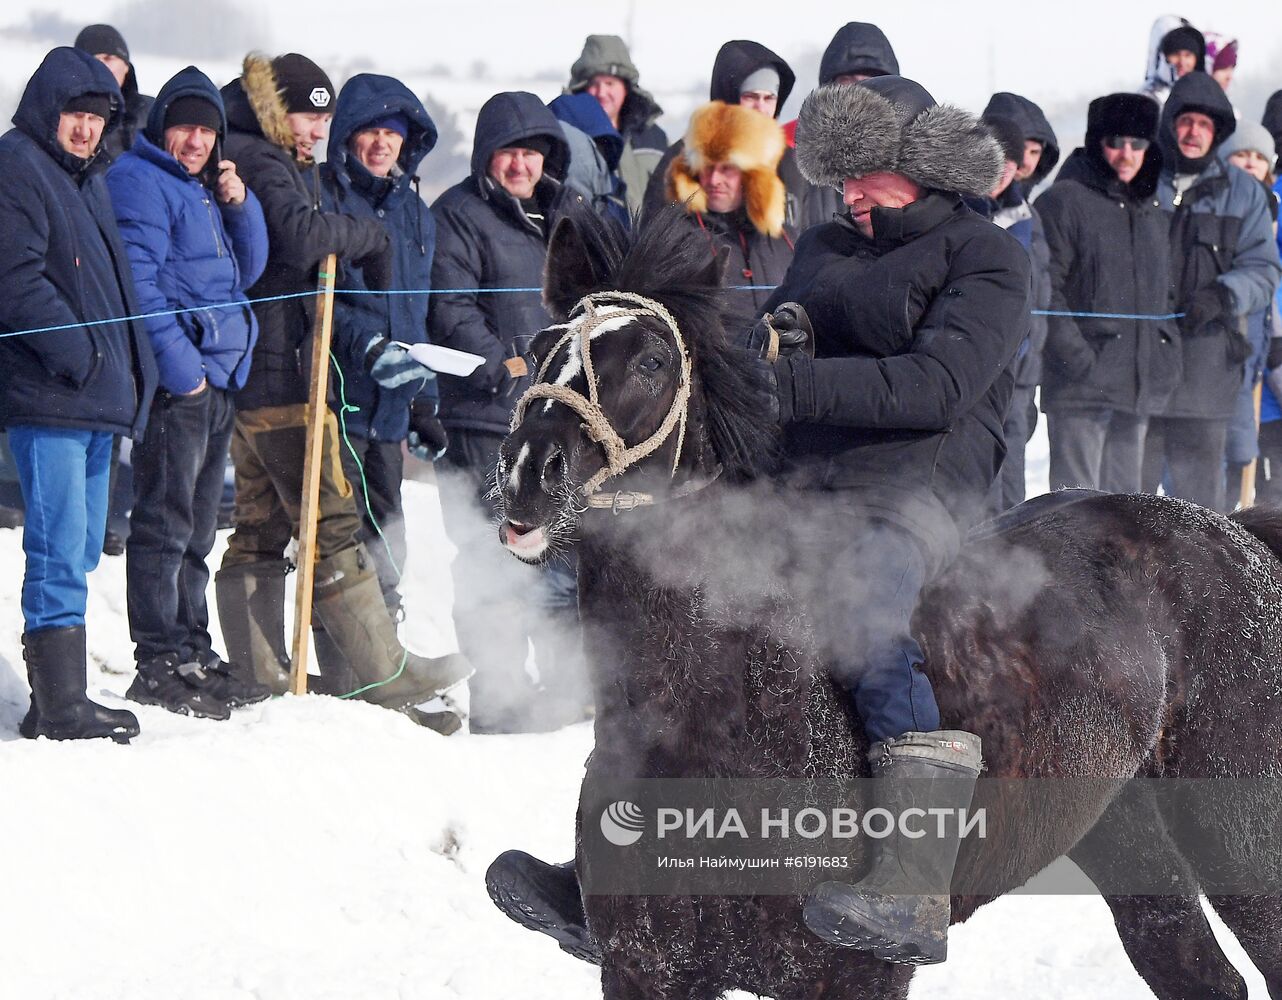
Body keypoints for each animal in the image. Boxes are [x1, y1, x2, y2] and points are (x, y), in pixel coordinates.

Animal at [482, 211, 1282, 1000]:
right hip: (1122, 832)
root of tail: (1236, 535)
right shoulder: (646, 969)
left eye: (651, 361)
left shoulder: (859, 973)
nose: (529, 473)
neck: (724, 710)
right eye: (541, 348)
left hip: (1238, 835)